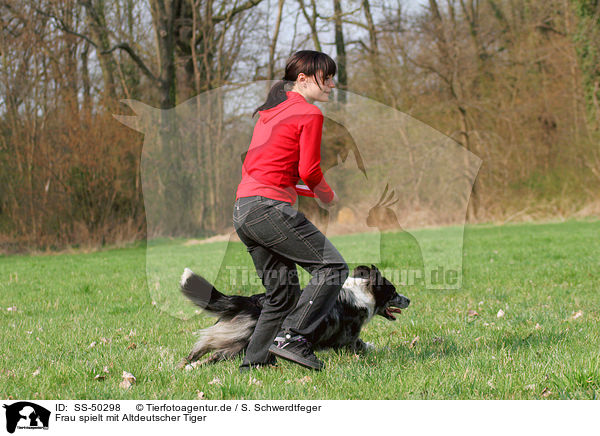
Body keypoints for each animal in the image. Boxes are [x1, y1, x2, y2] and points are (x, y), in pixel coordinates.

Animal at [178, 264, 410, 366]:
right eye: (393, 292)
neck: (362, 292)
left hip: (235, 339)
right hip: (243, 341)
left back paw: (187, 366)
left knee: (205, 348)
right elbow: (366, 346)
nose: (408, 300)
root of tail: (253, 300)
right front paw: (390, 350)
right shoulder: (349, 338)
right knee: (214, 350)